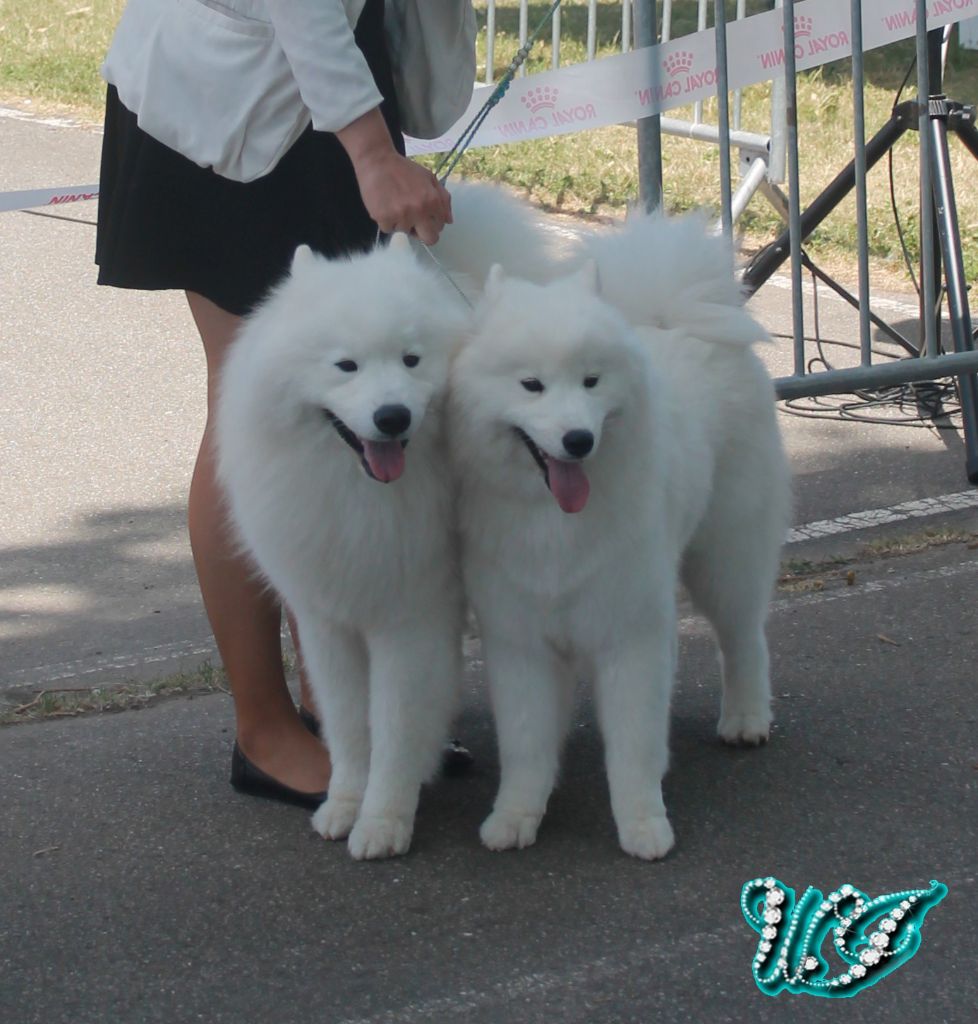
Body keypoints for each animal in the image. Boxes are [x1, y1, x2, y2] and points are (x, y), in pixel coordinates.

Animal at [217, 188, 557, 860]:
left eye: (411, 359)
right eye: (345, 366)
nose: (393, 416)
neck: (362, 495)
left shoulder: (410, 617)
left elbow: (394, 725)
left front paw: (384, 820)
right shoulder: (326, 620)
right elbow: (350, 727)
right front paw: (346, 803)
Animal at [446, 211, 790, 860]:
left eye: (591, 381)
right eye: (531, 385)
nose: (578, 439)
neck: (553, 521)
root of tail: (673, 319)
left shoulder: (629, 632)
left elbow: (632, 743)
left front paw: (643, 825)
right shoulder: (519, 639)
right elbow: (526, 744)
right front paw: (515, 816)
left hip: (723, 555)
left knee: (744, 637)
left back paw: (746, 720)